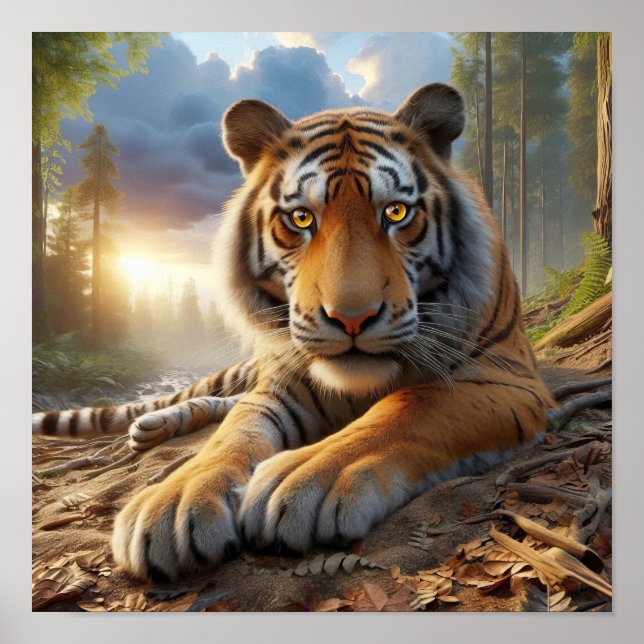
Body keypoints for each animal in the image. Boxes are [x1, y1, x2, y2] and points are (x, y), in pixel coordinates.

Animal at [32, 83, 556, 582]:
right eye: (301, 218)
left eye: (396, 213)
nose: (352, 318)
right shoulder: (283, 383)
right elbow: (235, 432)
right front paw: (176, 502)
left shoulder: (506, 378)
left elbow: (411, 405)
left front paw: (308, 477)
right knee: (225, 399)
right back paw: (154, 426)